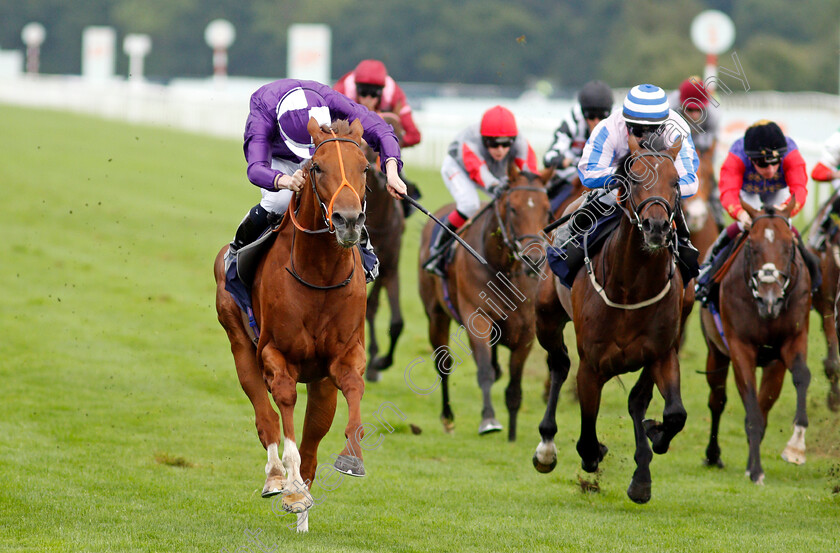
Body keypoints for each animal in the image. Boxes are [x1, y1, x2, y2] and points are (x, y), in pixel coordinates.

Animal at [215, 117, 370, 532]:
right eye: (316, 168)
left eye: (366, 167)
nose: (349, 221)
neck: (319, 273)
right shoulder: (275, 353)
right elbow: (283, 404)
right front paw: (294, 490)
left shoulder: (343, 356)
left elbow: (354, 387)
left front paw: (352, 456)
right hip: (239, 341)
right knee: (265, 416)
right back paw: (276, 479)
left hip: (320, 384)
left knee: (313, 439)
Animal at [418, 164, 552, 440]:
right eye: (514, 208)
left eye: (547, 208)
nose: (534, 260)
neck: (504, 269)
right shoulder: (477, 317)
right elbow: (484, 372)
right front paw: (489, 419)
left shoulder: (527, 330)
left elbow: (514, 385)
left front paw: (512, 435)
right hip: (436, 314)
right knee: (443, 364)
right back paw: (448, 418)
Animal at [536, 136, 692, 502]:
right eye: (634, 179)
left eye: (676, 182)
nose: (656, 227)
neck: (630, 289)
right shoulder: (592, 366)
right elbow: (587, 439)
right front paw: (595, 455)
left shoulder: (662, 354)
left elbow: (674, 414)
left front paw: (654, 437)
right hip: (545, 317)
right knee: (559, 364)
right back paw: (546, 446)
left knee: (637, 401)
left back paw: (642, 472)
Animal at [700, 202, 812, 484]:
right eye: (752, 245)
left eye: (789, 245)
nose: (768, 299)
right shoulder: (740, 348)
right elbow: (750, 405)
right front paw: (757, 470)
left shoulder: (792, 341)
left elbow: (801, 376)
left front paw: (796, 447)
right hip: (715, 351)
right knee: (717, 401)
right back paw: (713, 455)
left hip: (772, 365)